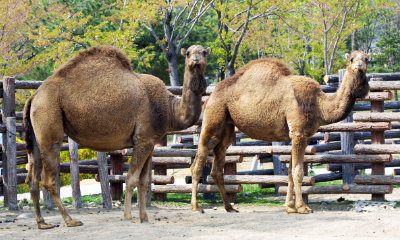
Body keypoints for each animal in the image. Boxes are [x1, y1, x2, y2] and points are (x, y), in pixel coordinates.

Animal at [24, 45, 212, 229]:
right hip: (49, 123)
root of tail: (34, 96)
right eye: (188, 53)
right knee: (49, 180)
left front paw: (144, 218)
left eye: (203, 52)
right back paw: (71, 221)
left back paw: (43, 223)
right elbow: (132, 179)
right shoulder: (143, 140)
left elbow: (144, 181)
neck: (170, 108)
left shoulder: (150, 142)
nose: (196, 58)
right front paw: (128, 217)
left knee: (32, 178)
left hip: (36, 136)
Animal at [189, 50, 370, 214]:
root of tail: (209, 97)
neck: (320, 105)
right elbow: (297, 171)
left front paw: (290, 207)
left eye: (366, 58)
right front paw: (302, 207)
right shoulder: (299, 133)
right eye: (352, 59)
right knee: (198, 162)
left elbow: (289, 171)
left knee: (217, 165)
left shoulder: (300, 136)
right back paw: (196, 207)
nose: (360, 65)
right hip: (214, 116)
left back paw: (229, 207)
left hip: (227, 126)